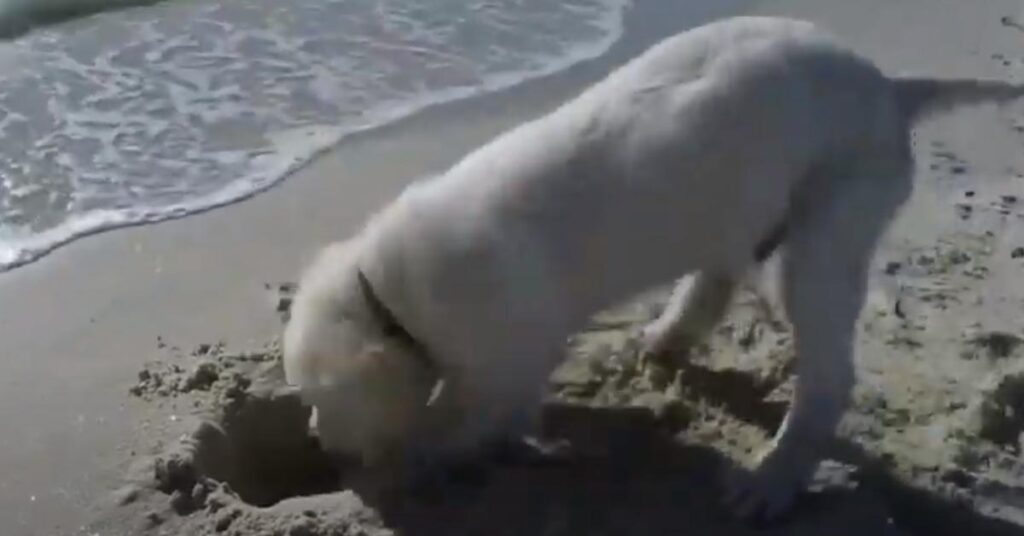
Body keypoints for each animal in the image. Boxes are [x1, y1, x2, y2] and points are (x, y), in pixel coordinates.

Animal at [282, 15, 1024, 520]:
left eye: (323, 398)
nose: (315, 442)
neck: (388, 291)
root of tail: (890, 90)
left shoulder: (505, 359)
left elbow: (470, 421)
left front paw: (415, 462)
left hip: (831, 220)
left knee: (826, 375)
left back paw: (771, 481)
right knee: (718, 275)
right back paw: (666, 338)